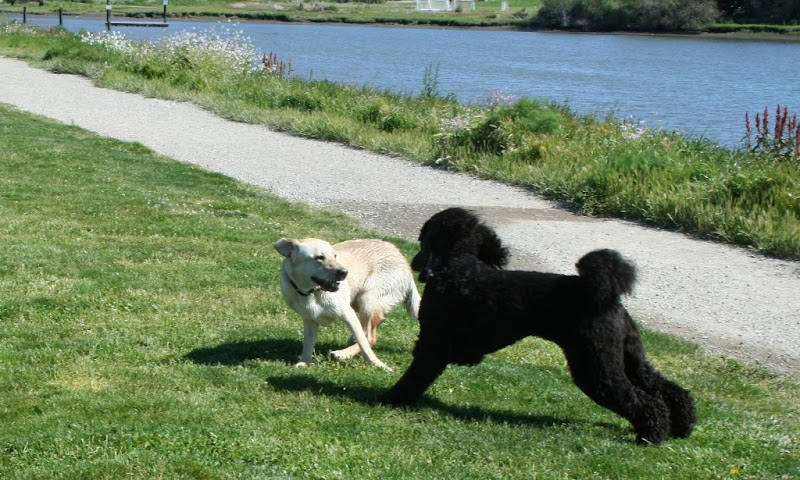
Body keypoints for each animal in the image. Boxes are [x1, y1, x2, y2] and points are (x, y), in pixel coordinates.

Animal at [276, 238, 422, 370]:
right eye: (319, 257)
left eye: (335, 256)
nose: (344, 272)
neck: (311, 292)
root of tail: (404, 261)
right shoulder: (309, 320)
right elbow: (307, 344)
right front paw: (304, 363)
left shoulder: (348, 314)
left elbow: (364, 344)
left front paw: (378, 364)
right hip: (360, 303)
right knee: (371, 329)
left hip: (367, 300)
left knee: (369, 337)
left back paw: (342, 353)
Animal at [378, 208, 696, 444]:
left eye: (424, 238)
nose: (415, 262)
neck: (458, 267)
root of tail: (606, 297)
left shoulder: (433, 345)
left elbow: (415, 377)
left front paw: (391, 399)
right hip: (629, 356)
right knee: (669, 390)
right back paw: (682, 427)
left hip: (596, 364)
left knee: (641, 400)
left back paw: (651, 435)